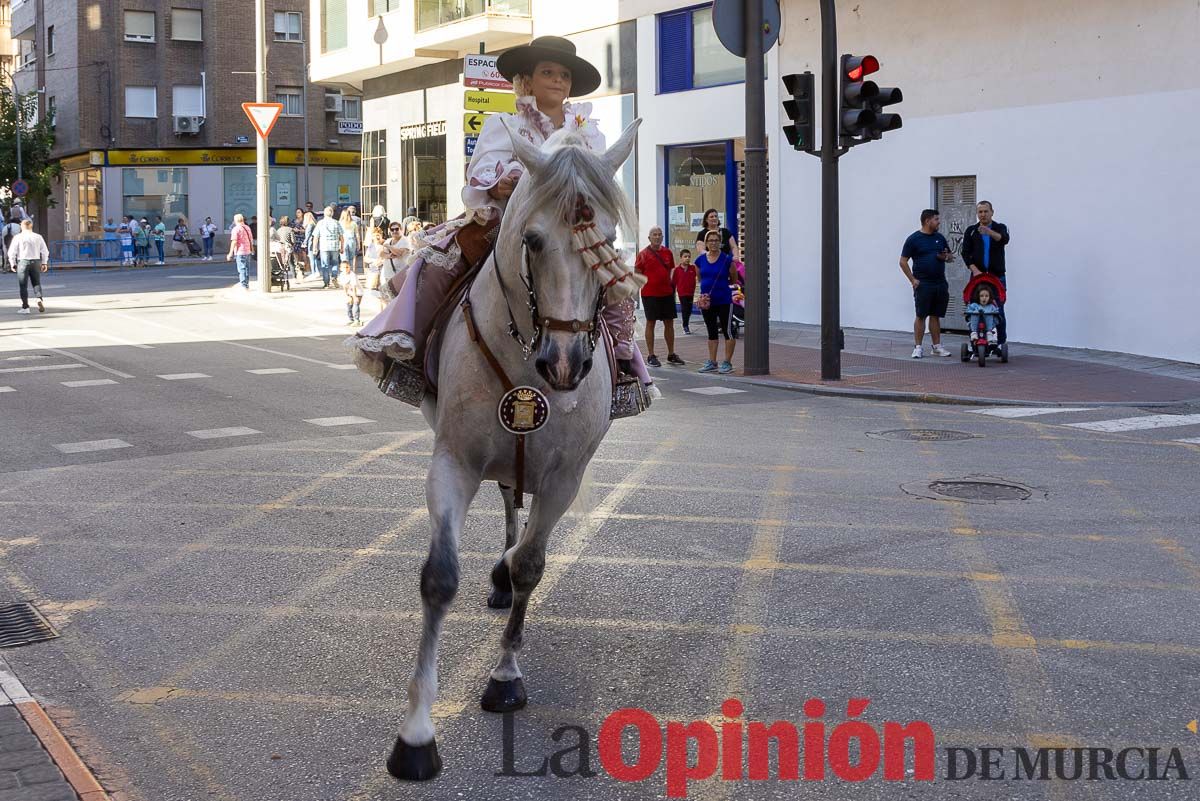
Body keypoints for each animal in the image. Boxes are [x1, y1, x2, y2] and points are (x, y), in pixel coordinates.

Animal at [388, 115, 643, 777]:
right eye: (531, 239)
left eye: (608, 239)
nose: (566, 363)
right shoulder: (452, 460)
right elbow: (440, 578)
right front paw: (416, 736)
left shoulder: (564, 478)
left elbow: (532, 563)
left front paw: (505, 676)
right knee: (506, 498)